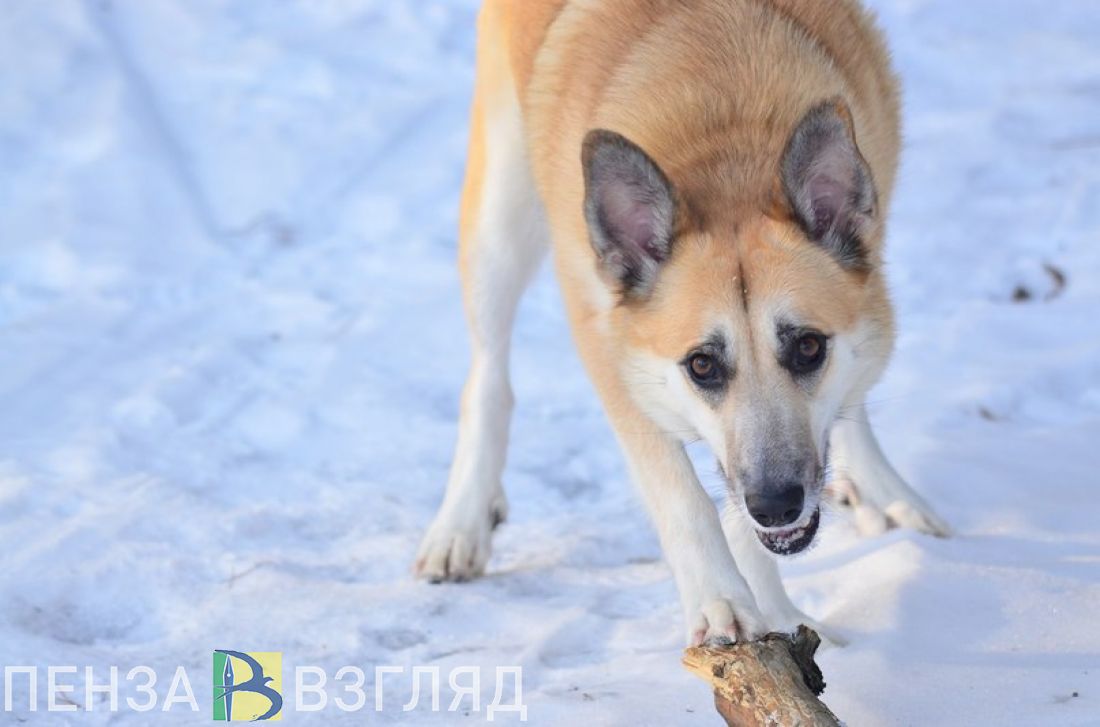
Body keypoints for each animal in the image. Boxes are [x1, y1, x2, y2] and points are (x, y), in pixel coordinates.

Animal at [415, 0, 950, 646]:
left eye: (808, 347)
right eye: (701, 365)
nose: (777, 503)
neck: (726, 138)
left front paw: (781, 615)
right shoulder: (610, 346)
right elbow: (684, 494)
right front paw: (724, 600)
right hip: (500, 215)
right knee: (488, 375)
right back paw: (462, 522)